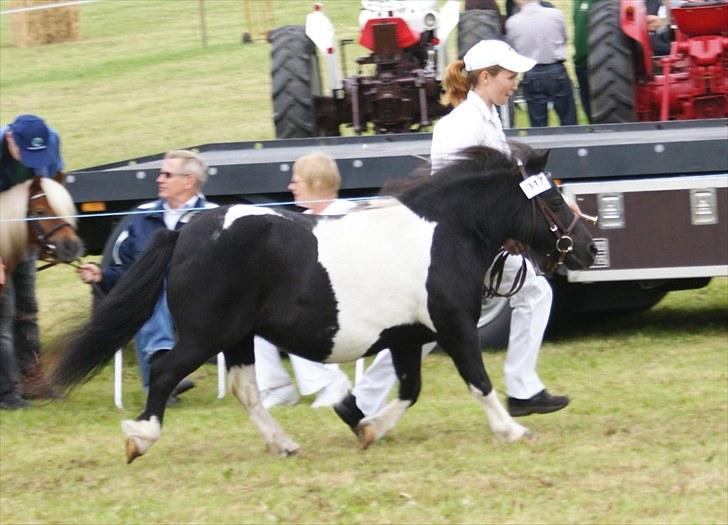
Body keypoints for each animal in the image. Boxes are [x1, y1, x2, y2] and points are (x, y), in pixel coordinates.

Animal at [52, 144, 596, 462]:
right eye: (552, 201)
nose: (588, 249)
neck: (445, 232)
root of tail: (186, 229)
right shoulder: (453, 324)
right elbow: (478, 380)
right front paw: (513, 431)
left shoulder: (407, 337)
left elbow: (410, 389)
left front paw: (367, 426)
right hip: (207, 335)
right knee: (166, 371)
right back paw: (139, 438)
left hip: (238, 337)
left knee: (246, 390)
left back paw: (284, 443)